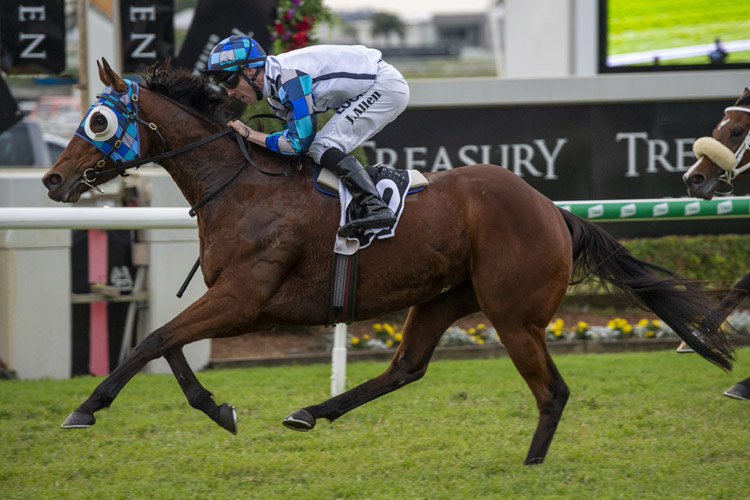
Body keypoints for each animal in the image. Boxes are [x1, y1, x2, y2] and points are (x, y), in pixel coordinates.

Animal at [39, 61, 736, 464]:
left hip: (514, 315)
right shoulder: (235, 301)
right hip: (445, 297)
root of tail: (551, 208)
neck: (240, 187)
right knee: (406, 368)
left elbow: (155, 339)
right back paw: (310, 413)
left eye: (97, 121)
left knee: (552, 391)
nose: (51, 179)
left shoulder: (245, 299)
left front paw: (86, 407)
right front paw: (217, 407)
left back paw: (531, 464)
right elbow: (168, 343)